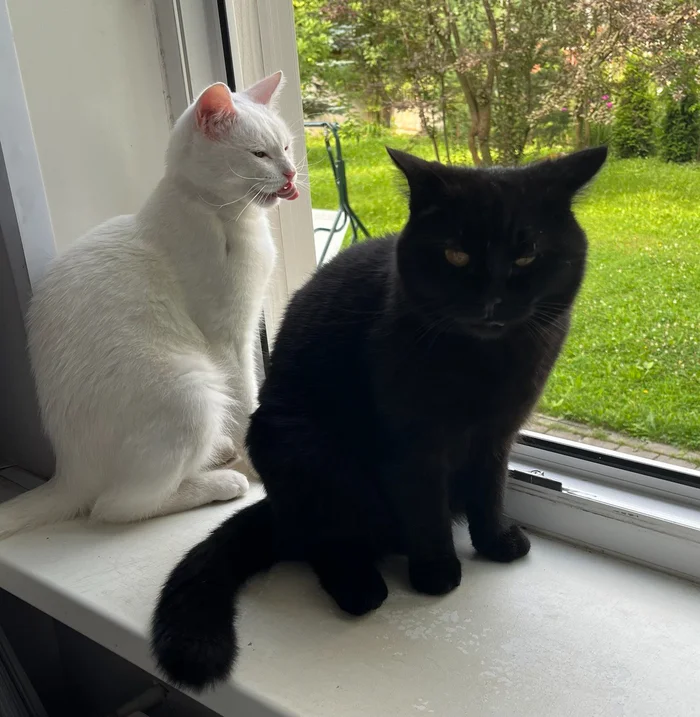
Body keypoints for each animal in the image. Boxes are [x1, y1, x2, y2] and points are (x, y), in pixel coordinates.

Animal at [0, 71, 298, 536]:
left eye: (285, 146)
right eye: (259, 154)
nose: (290, 172)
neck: (227, 218)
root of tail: (67, 470)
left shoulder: (249, 329)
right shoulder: (228, 336)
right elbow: (246, 396)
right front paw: (256, 462)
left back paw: (218, 454)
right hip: (191, 391)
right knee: (115, 506)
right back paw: (222, 481)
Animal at [152, 145, 608, 688]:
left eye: (527, 255)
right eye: (456, 254)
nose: (492, 301)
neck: (484, 362)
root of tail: (276, 508)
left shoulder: (497, 435)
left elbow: (489, 491)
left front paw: (495, 543)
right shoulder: (414, 445)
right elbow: (427, 510)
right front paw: (436, 573)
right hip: (304, 451)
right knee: (324, 541)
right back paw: (362, 588)